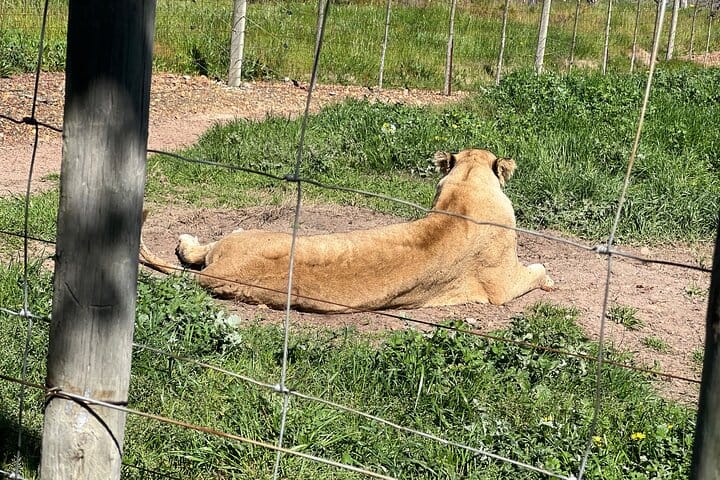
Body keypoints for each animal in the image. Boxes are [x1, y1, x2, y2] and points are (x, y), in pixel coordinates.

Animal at [139, 148, 553, 313]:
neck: (466, 188)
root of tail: (223, 272)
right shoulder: (502, 285)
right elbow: (538, 270)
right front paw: (548, 279)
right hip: (250, 234)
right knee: (204, 246)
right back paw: (188, 239)